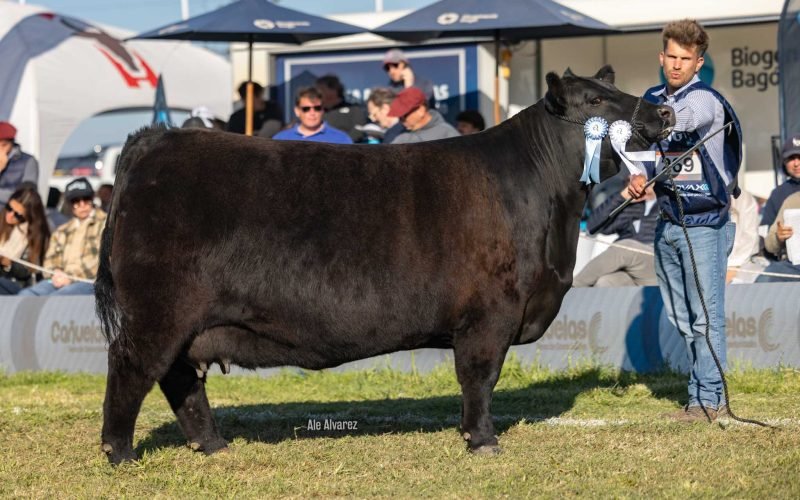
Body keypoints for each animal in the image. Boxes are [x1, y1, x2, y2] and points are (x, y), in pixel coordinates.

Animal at [96, 66, 675, 465]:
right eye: (596, 99)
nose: (664, 113)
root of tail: (158, 140)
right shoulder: (491, 313)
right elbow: (480, 377)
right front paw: (483, 441)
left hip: (187, 322)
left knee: (180, 380)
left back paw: (214, 445)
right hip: (159, 310)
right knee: (131, 367)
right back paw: (119, 453)